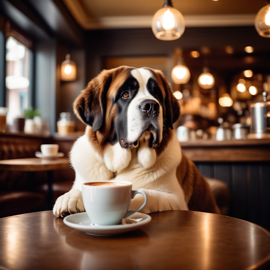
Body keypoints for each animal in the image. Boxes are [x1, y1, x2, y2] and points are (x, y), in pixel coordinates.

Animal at [52, 66, 219, 218]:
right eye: (125, 94)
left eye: (157, 94)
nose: (151, 105)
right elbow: (81, 188)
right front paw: (70, 197)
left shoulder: (176, 200)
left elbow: (143, 194)